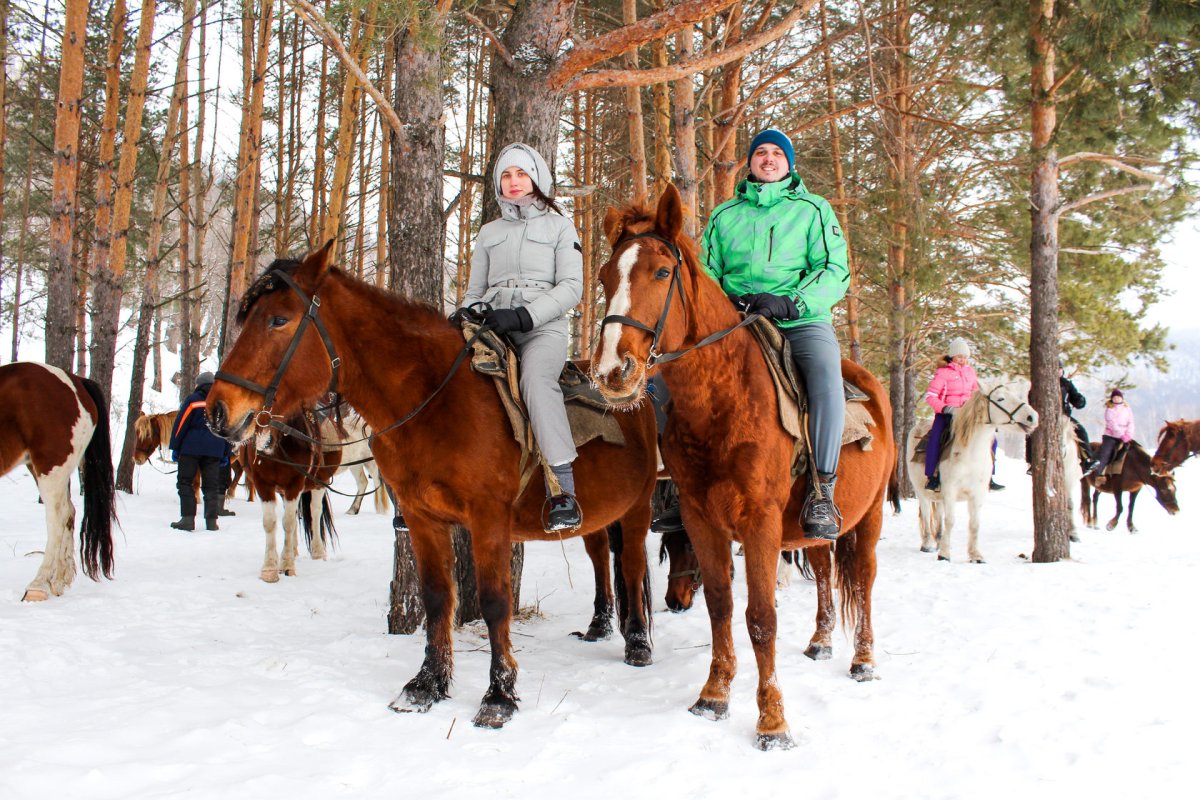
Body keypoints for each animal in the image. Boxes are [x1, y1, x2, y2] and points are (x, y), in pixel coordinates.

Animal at [0, 362, 116, 599]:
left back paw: (38, 585)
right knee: (68, 512)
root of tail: (77, 382)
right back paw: (59, 580)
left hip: (50, 469)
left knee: (57, 517)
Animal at [237, 412, 343, 582]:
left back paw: (318, 552)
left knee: (315, 512)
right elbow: (270, 522)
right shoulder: (263, 484)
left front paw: (287, 565)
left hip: (320, 482)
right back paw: (294, 550)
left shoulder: (295, 483)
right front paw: (269, 569)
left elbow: (289, 522)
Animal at [585, 188, 897, 753]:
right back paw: (821, 641)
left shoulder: (759, 522)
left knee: (862, 581)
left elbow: (761, 618)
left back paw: (863, 660)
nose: (612, 372)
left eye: (662, 271)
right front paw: (713, 695)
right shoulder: (701, 519)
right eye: (603, 276)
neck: (721, 401)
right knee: (824, 574)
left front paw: (772, 721)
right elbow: (720, 607)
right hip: (813, 533)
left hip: (868, 520)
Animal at [902, 383, 1036, 563]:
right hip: (921, 492)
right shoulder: (950, 491)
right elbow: (950, 520)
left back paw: (939, 540)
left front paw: (975, 555)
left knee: (938, 514)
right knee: (925, 513)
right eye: (1000, 398)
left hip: (939, 496)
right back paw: (928, 544)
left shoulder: (977, 494)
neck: (971, 454)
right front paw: (944, 554)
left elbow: (974, 524)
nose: (1032, 416)